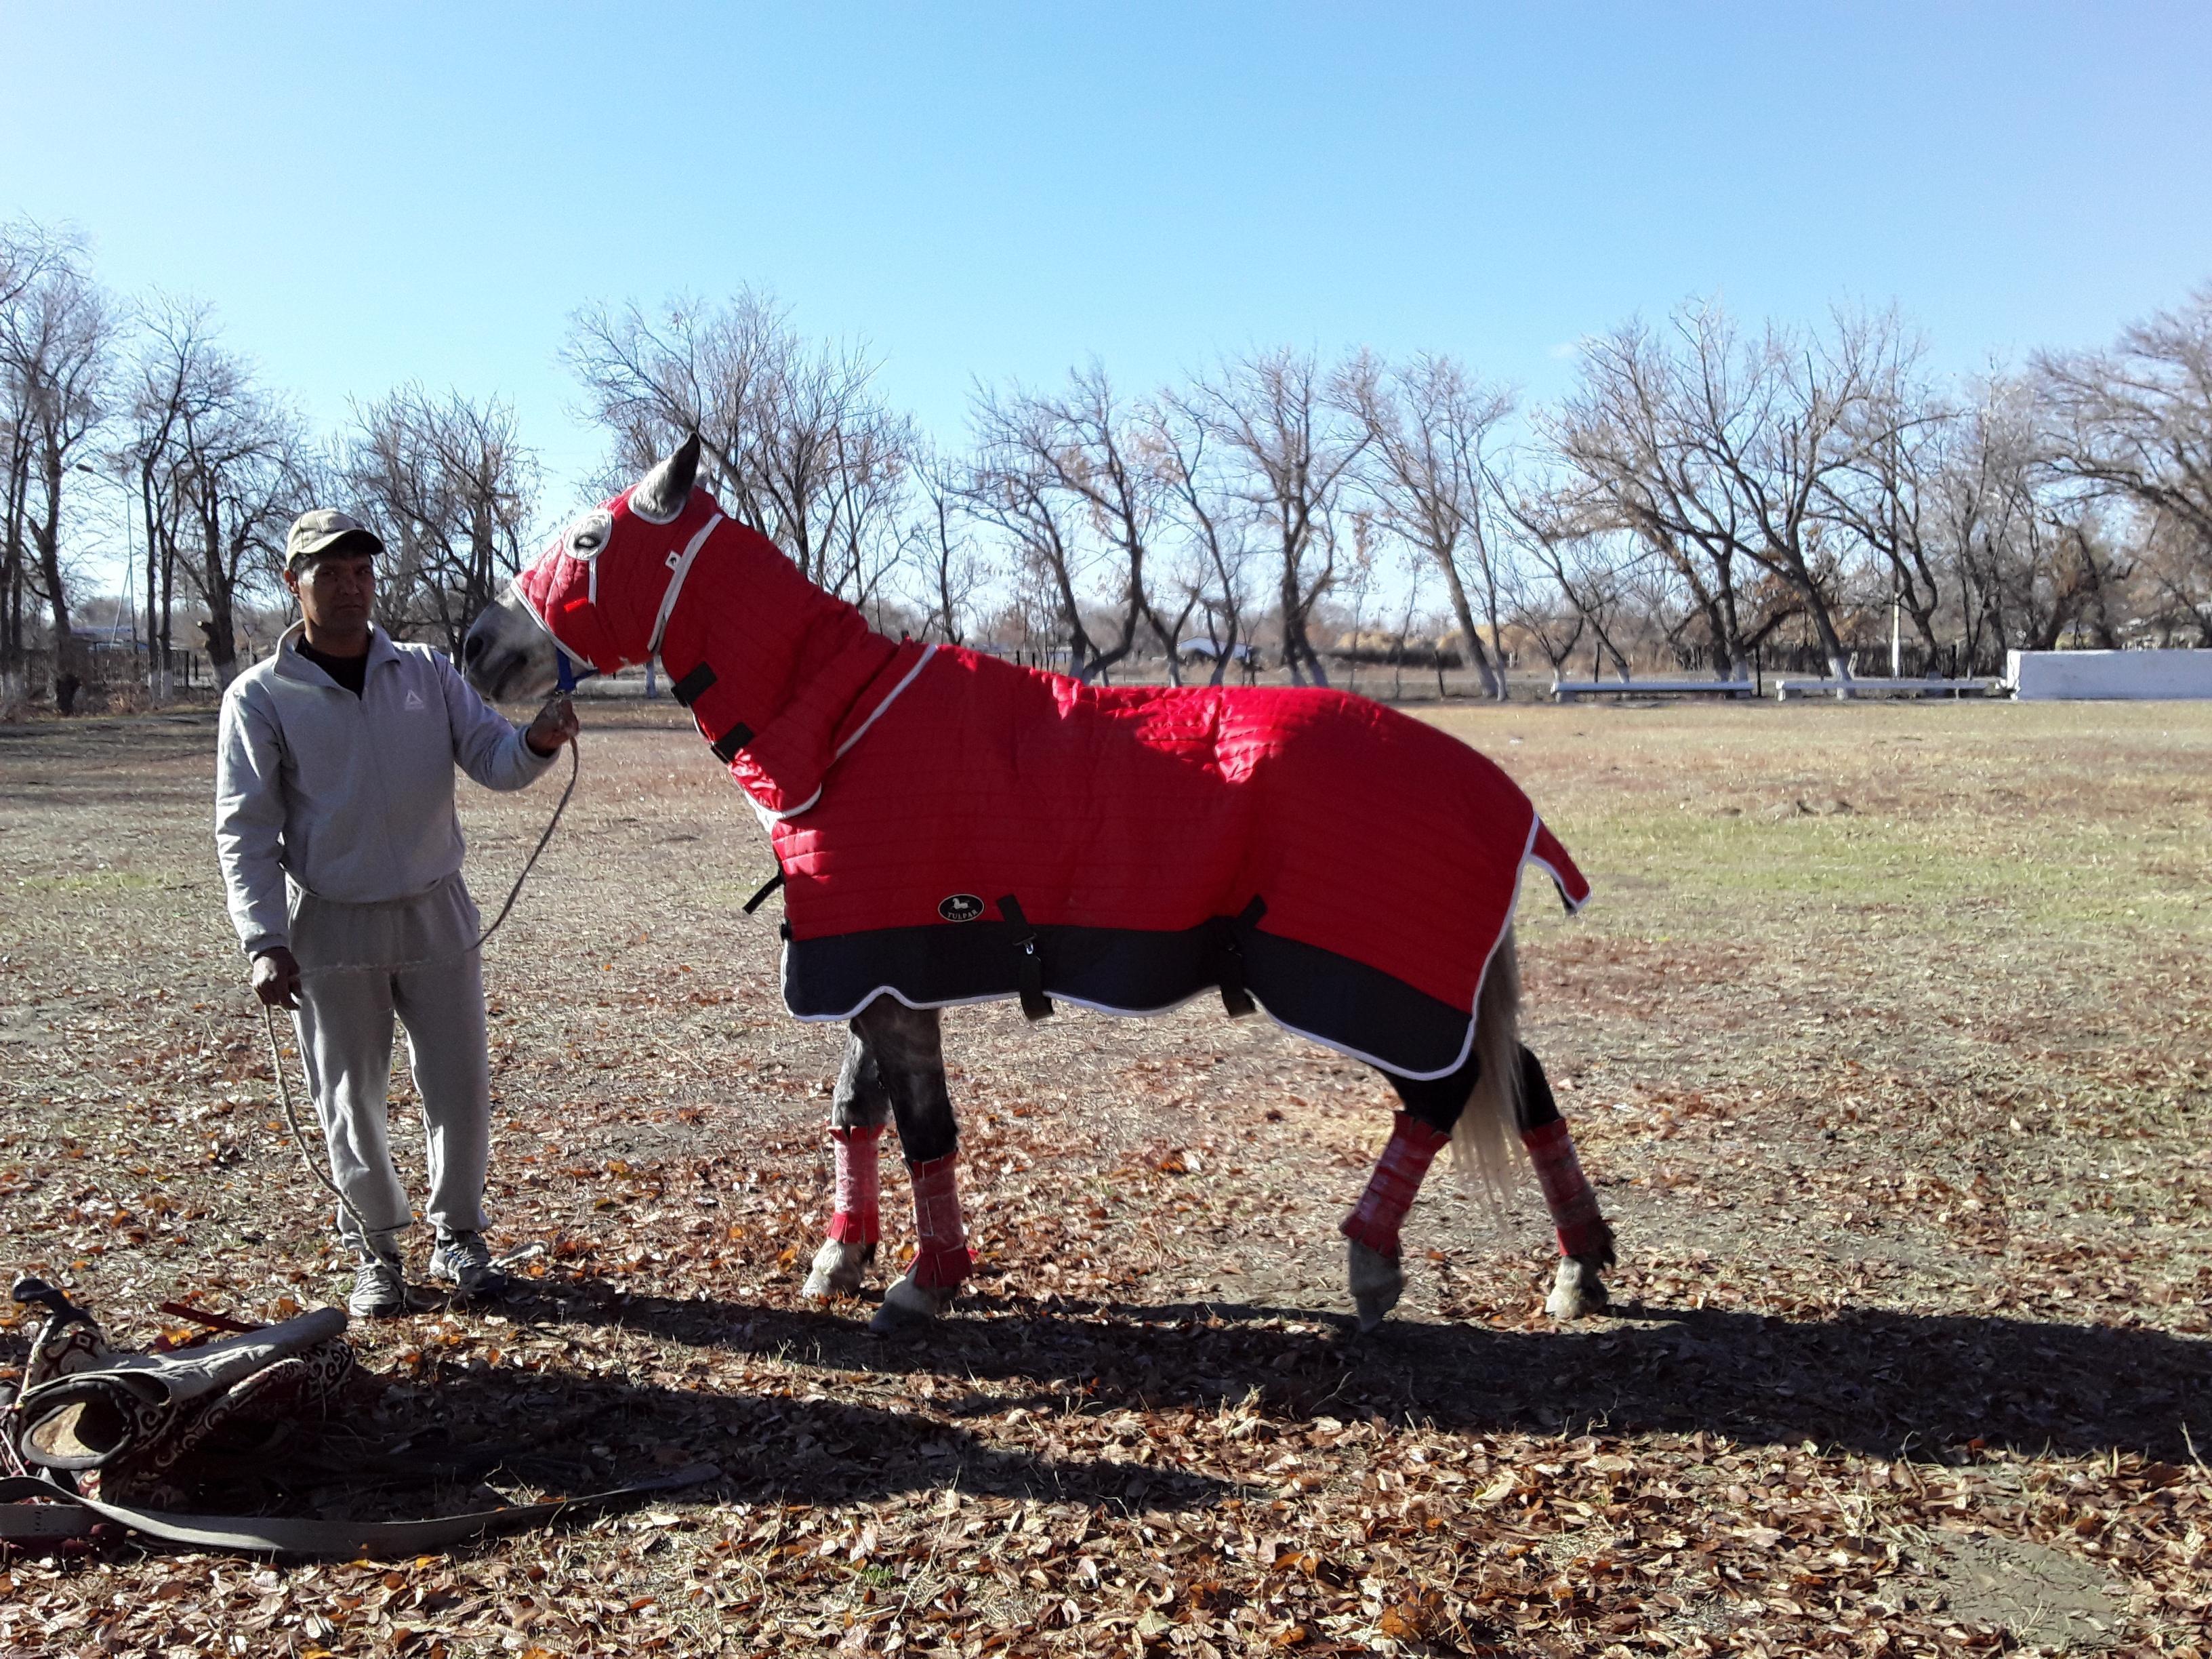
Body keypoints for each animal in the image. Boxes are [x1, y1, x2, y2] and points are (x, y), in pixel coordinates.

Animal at [461, 436, 1616, 1334]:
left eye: (589, 540)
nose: (476, 643)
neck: (842, 730)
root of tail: (1499, 793)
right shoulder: (876, 969)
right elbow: (857, 1113)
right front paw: (844, 1259)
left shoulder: (892, 984)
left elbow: (926, 1127)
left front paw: (926, 1283)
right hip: (1432, 995)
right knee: (1525, 1086)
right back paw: (1580, 1267)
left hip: (1373, 990)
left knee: (1442, 1097)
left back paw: (1374, 1264)